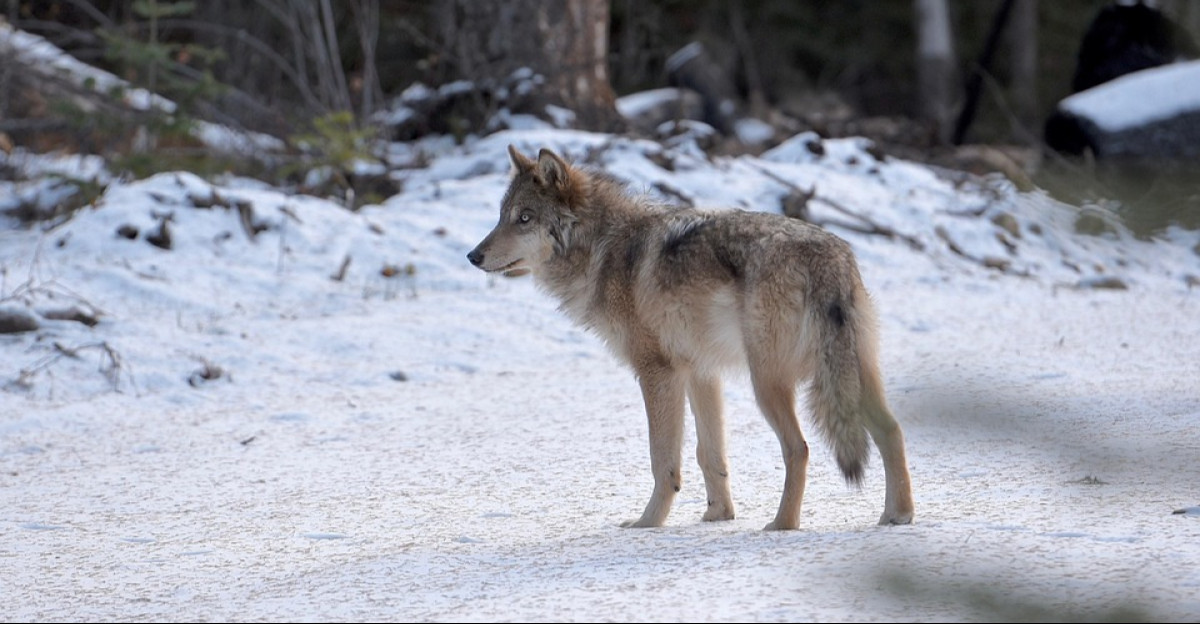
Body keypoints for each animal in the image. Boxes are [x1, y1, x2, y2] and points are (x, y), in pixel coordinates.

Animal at [470, 146, 916, 530]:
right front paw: (718, 515)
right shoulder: (701, 372)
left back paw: (782, 524)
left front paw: (648, 523)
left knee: (799, 448)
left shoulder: (657, 373)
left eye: (524, 218)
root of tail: (828, 256)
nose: (473, 256)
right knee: (892, 431)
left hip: (767, 385)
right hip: (852, 377)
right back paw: (898, 515)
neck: (602, 248)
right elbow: (710, 454)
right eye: (501, 216)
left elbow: (663, 459)